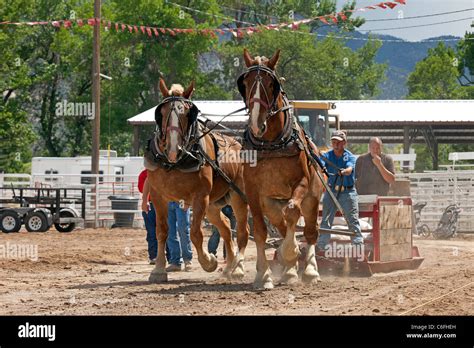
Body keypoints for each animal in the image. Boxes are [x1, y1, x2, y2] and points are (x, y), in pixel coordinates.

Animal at [143, 78, 248, 282]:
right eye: (162, 113)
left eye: (186, 114)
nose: (173, 147)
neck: (175, 162)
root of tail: (239, 145)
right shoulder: (158, 196)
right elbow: (162, 231)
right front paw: (158, 270)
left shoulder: (200, 197)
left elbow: (196, 233)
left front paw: (209, 262)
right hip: (213, 205)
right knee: (225, 227)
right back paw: (229, 268)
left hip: (237, 197)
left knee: (242, 231)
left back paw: (238, 268)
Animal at [239, 49, 324, 288]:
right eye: (245, 82)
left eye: (271, 83)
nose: (257, 124)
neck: (271, 144)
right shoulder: (252, 191)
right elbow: (260, 231)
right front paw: (263, 276)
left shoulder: (302, 184)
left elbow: (293, 213)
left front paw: (292, 254)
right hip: (270, 203)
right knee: (283, 225)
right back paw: (289, 270)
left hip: (312, 199)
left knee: (310, 231)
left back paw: (308, 270)